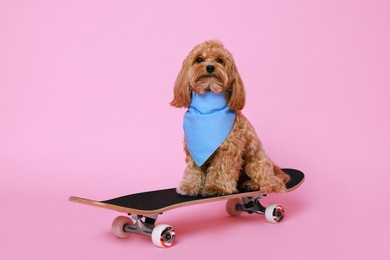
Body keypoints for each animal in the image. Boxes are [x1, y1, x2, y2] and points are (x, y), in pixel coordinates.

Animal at [171, 40, 290, 197]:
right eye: (199, 59)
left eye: (220, 60)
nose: (210, 67)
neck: (207, 109)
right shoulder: (193, 150)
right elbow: (193, 170)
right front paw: (189, 186)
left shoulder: (229, 150)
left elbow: (222, 169)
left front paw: (217, 187)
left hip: (256, 162)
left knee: (273, 182)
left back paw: (256, 184)